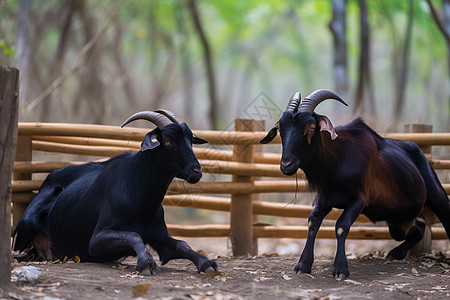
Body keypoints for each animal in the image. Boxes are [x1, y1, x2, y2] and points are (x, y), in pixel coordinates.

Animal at [14, 109, 218, 274]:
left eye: (190, 140)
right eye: (168, 141)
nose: (196, 171)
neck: (142, 199)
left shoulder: (160, 237)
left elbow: (182, 245)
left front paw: (206, 263)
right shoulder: (96, 241)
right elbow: (134, 235)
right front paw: (146, 263)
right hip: (26, 226)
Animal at [260, 90, 450, 280]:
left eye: (311, 128)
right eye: (281, 130)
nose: (287, 164)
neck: (337, 161)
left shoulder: (359, 199)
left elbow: (341, 226)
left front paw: (340, 269)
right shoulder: (324, 199)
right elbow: (313, 222)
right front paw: (303, 265)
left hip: (434, 195)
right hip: (397, 220)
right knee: (419, 227)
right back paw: (396, 253)